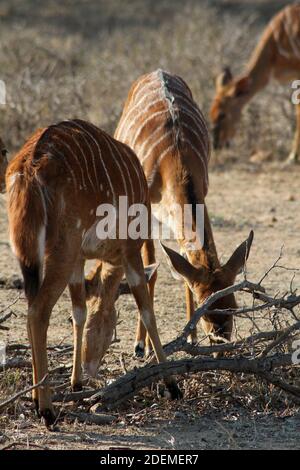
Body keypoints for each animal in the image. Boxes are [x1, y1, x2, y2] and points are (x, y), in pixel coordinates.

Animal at [6, 119, 180, 428]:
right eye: (113, 328)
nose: (90, 368)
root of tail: (28, 169)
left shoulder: (78, 261)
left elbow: (78, 311)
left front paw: (76, 383)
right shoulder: (131, 251)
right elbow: (147, 309)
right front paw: (172, 385)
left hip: (31, 256)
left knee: (31, 308)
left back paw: (38, 399)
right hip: (61, 251)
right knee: (38, 312)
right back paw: (47, 411)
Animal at [112, 69, 253, 356]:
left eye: (232, 307)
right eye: (206, 309)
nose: (221, 346)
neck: (174, 158)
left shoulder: (203, 193)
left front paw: (190, 337)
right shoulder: (145, 208)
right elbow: (150, 270)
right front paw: (143, 344)